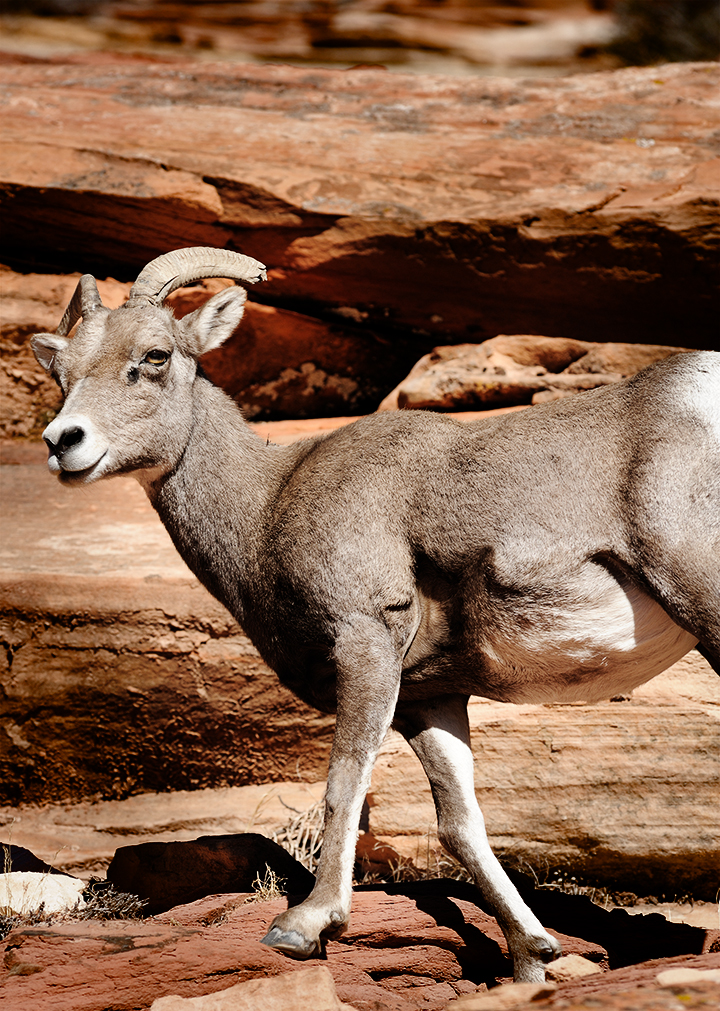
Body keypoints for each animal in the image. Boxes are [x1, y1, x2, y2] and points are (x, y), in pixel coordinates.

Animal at [33, 244, 720, 978]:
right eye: (62, 370)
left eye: (156, 354)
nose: (64, 441)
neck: (268, 503)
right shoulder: (429, 700)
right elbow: (459, 825)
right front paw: (531, 959)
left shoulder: (365, 641)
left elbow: (344, 777)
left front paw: (303, 925)